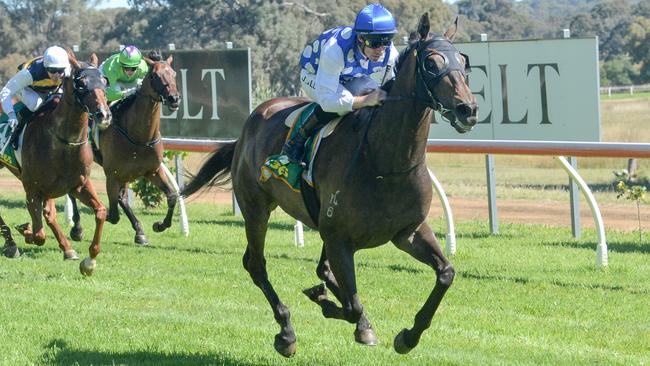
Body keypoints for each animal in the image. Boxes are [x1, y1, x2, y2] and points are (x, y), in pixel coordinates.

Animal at [0, 50, 111, 276]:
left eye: (104, 81)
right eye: (81, 83)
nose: (104, 115)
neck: (63, 141)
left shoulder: (79, 184)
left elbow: (101, 211)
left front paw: (89, 261)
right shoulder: (32, 189)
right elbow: (39, 234)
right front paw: (25, 230)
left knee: (49, 214)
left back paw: (66, 249)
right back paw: (11, 243)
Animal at [182, 15, 476, 358]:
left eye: (464, 61)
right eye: (431, 63)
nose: (468, 109)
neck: (383, 161)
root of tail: (249, 124)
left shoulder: (408, 231)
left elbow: (446, 274)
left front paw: (407, 336)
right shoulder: (339, 238)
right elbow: (350, 305)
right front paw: (329, 305)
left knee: (321, 270)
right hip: (256, 208)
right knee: (256, 264)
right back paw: (287, 332)